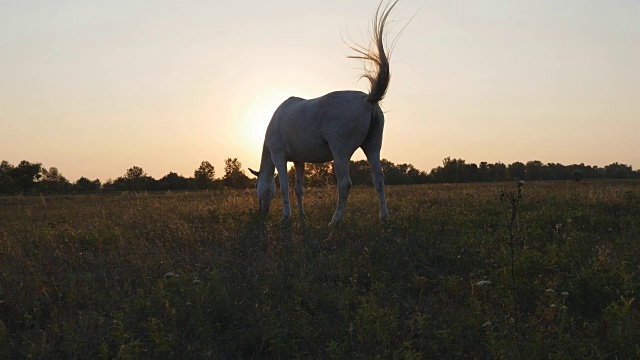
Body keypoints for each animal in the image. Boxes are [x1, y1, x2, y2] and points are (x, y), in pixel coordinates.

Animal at [252, 0, 398, 226]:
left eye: (255, 189)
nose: (261, 214)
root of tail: (368, 99)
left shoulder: (279, 156)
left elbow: (284, 187)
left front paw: (286, 217)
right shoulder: (299, 161)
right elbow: (298, 189)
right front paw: (302, 218)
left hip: (340, 154)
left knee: (344, 184)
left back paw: (335, 221)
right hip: (372, 147)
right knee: (379, 179)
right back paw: (384, 217)